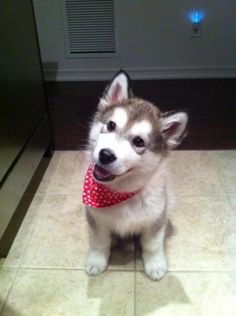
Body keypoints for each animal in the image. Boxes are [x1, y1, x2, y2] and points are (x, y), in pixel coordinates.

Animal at [83, 70, 188, 280]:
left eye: (139, 142)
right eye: (111, 125)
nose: (106, 155)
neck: (120, 193)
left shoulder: (155, 220)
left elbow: (152, 246)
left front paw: (155, 265)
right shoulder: (96, 219)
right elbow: (99, 242)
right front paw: (96, 261)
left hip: (168, 202)